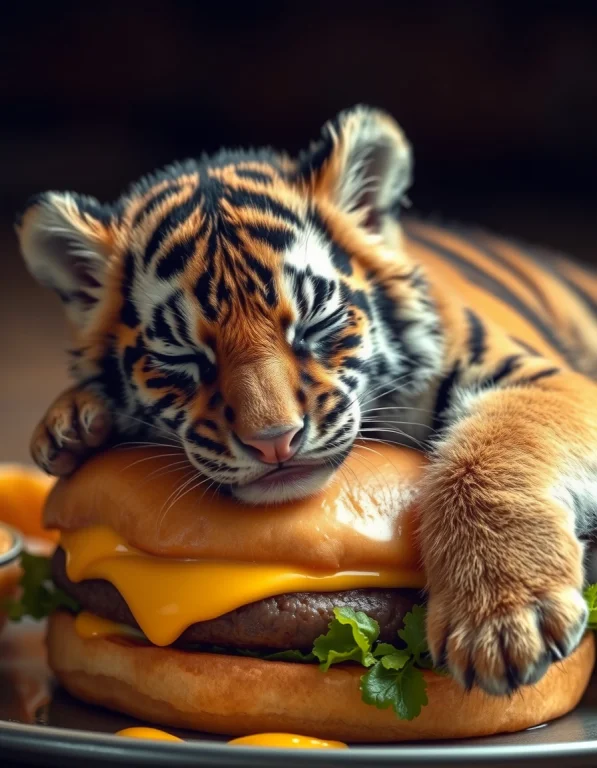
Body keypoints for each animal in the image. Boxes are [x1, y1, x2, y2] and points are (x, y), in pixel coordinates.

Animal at [16, 105, 597, 698]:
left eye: (315, 325)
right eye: (184, 355)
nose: (274, 441)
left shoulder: (538, 380)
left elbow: (494, 454)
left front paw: (501, 621)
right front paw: (72, 424)